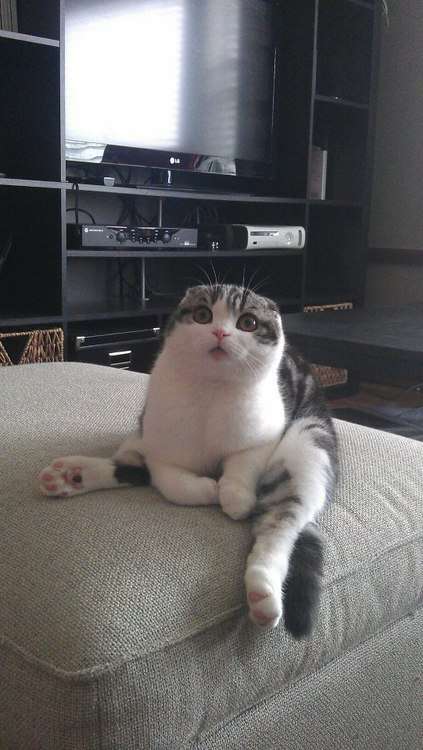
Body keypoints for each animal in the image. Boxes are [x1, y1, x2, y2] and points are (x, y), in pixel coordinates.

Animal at [39, 284, 338, 637]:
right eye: (203, 315)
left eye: (248, 322)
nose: (220, 332)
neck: (211, 393)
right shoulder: (161, 447)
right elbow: (171, 482)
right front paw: (209, 490)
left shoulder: (263, 437)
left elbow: (242, 464)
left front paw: (233, 496)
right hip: (144, 431)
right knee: (132, 465)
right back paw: (71, 475)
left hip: (308, 446)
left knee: (278, 530)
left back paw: (262, 594)